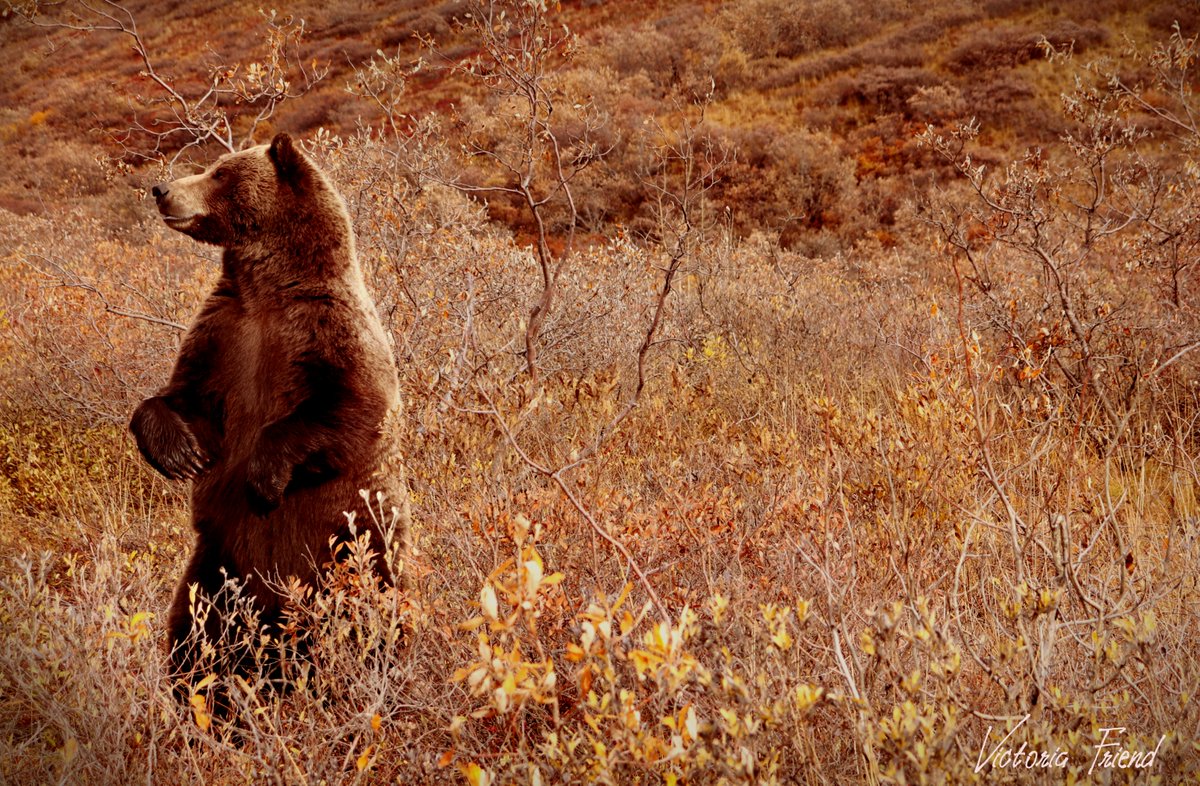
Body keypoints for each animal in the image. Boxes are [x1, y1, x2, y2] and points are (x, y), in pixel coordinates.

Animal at [131, 132, 406, 687]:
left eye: (219, 172)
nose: (162, 188)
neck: (268, 290)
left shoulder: (329, 328)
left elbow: (353, 407)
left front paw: (263, 477)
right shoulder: (224, 335)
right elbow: (185, 399)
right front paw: (180, 453)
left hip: (355, 550)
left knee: (375, 617)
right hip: (216, 566)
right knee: (193, 631)